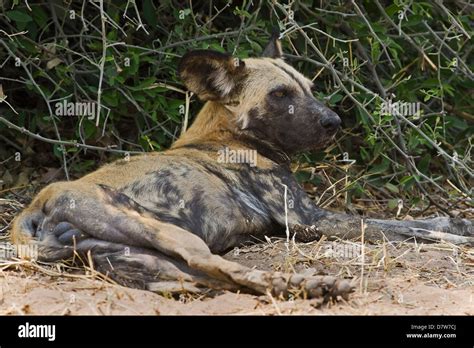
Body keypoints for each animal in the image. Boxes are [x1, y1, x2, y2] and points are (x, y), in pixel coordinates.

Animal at [10, 36, 470, 300]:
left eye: (309, 89)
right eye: (280, 94)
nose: (334, 122)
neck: (229, 137)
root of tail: (31, 210)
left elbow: (417, 224)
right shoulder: (307, 220)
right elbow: (407, 227)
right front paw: (459, 233)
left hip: (138, 258)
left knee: (211, 279)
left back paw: (304, 287)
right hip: (167, 233)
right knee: (218, 271)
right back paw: (307, 286)